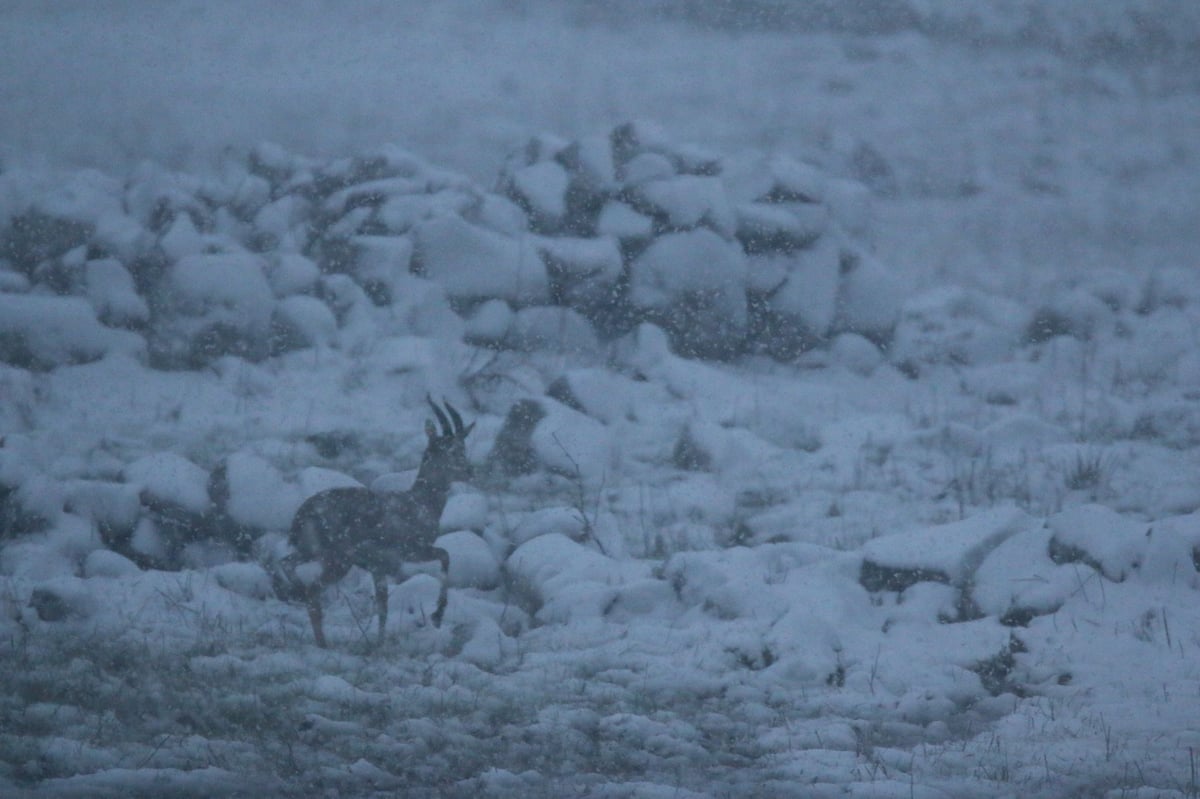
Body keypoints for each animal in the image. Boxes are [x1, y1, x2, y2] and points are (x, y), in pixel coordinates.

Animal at [274, 395, 472, 643]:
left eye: (462, 447)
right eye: (449, 450)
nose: (470, 471)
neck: (421, 504)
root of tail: (303, 515)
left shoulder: (378, 567)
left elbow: (382, 606)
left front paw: (378, 642)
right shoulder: (411, 550)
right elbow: (445, 555)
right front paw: (436, 616)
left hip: (313, 552)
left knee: (287, 563)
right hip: (338, 560)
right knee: (312, 590)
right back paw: (321, 640)